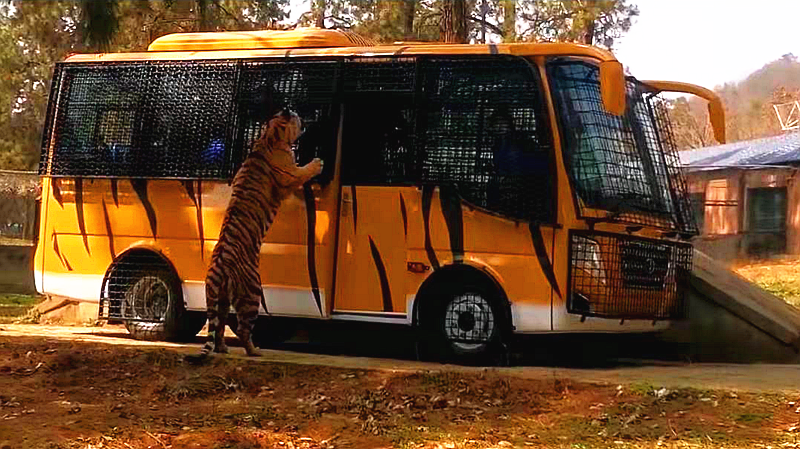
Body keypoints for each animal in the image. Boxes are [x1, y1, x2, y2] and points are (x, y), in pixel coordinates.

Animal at [186, 108, 323, 363]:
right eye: (297, 117)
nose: (306, 120)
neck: (268, 136)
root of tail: (219, 265)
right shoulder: (290, 174)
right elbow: (303, 170)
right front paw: (317, 163)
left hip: (219, 297)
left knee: (218, 325)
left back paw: (223, 348)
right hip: (252, 292)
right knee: (242, 328)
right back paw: (255, 351)